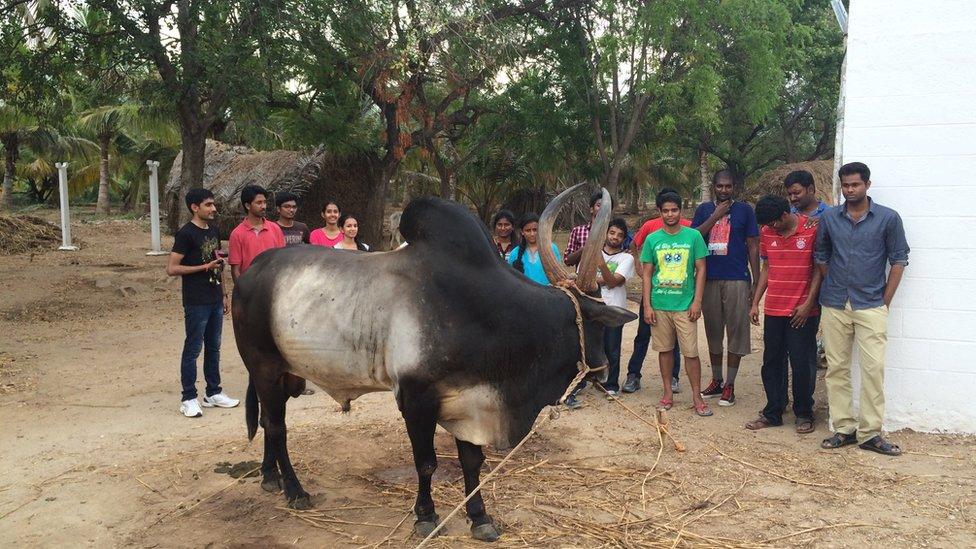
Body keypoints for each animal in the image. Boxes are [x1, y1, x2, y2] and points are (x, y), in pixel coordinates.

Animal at [233, 185, 636, 540]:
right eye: (596, 324)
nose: (603, 365)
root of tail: (250, 272)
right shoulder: (416, 399)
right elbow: (426, 462)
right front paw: (426, 517)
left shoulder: (470, 399)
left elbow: (472, 462)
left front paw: (480, 519)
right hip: (265, 367)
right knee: (277, 427)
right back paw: (294, 490)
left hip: (284, 375)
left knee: (268, 421)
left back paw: (270, 478)